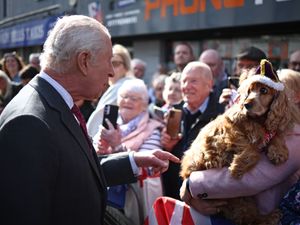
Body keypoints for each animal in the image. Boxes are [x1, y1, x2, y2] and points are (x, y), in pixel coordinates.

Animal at [179, 60, 298, 225]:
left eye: (264, 90)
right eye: (248, 91)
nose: (246, 104)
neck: (258, 122)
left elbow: (275, 134)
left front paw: (278, 152)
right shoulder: (223, 136)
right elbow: (251, 148)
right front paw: (238, 166)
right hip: (236, 199)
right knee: (248, 217)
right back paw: (269, 216)